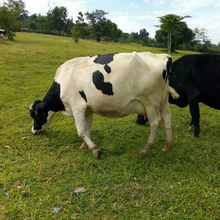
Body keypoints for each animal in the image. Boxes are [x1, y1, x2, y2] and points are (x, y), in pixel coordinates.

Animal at [29, 51, 174, 158]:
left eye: (34, 115)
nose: (33, 130)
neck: (62, 82)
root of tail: (164, 56)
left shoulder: (77, 106)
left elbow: (81, 131)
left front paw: (94, 149)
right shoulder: (87, 109)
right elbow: (87, 128)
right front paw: (86, 145)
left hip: (150, 102)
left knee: (155, 122)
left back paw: (147, 147)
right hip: (163, 101)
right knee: (167, 119)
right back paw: (167, 145)